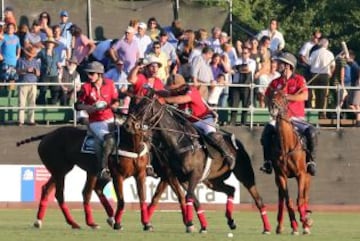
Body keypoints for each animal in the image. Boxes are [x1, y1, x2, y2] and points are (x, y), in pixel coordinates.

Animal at [268, 89, 312, 234]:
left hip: (308, 176)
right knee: (281, 199)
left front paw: (305, 221)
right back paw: (280, 226)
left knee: (305, 197)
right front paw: (294, 226)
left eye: (283, 97)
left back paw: (306, 223)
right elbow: (288, 201)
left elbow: (300, 199)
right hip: (277, 179)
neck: (287, 146)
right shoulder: (281, 176)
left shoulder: (301, 175)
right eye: (272, 95)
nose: (274, 106)